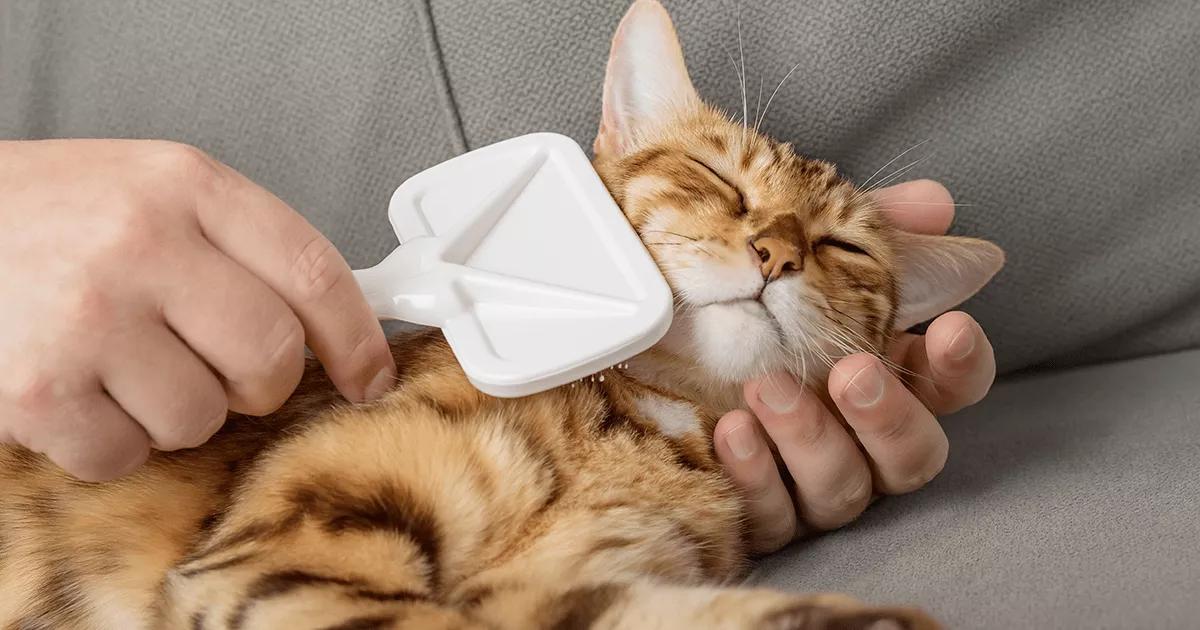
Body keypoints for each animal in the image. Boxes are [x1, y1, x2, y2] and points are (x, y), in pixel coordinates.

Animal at [0, 2, 1003, 624]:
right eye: (717, 177)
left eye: (843, 249)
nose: (778, 254)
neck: (640, 423)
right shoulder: (284, 554)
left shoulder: (565, 586)